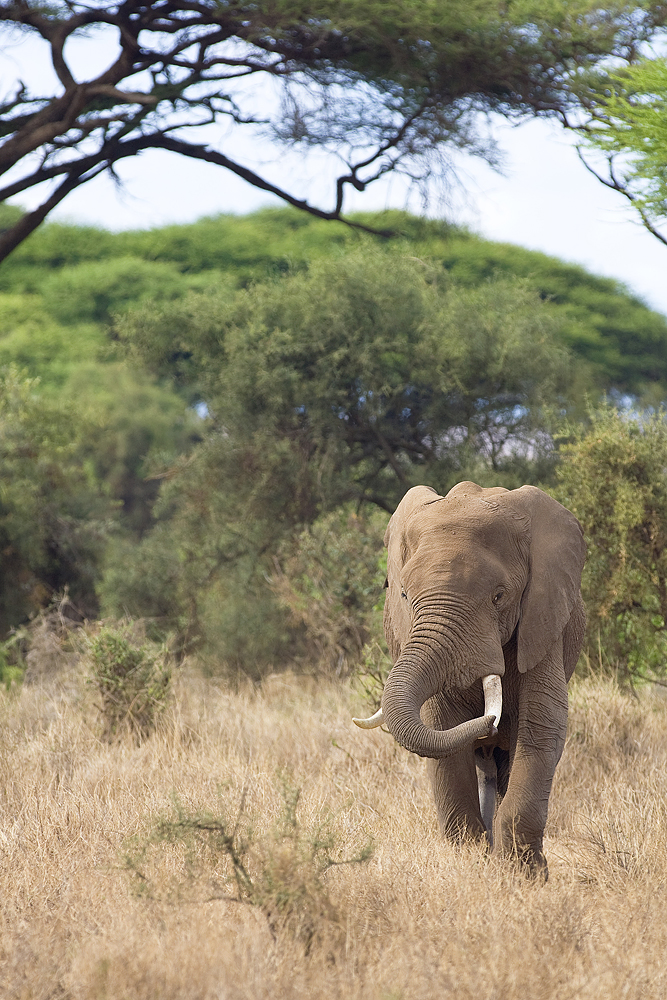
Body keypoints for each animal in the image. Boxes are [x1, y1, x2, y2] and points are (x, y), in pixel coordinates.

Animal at [352, 482, 588, 876]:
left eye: (499, 596)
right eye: (404, 594)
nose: (488, 723)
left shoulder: (543, 621)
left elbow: (543, 725)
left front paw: (524, 877)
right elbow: (440, 724)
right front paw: (471, 863)